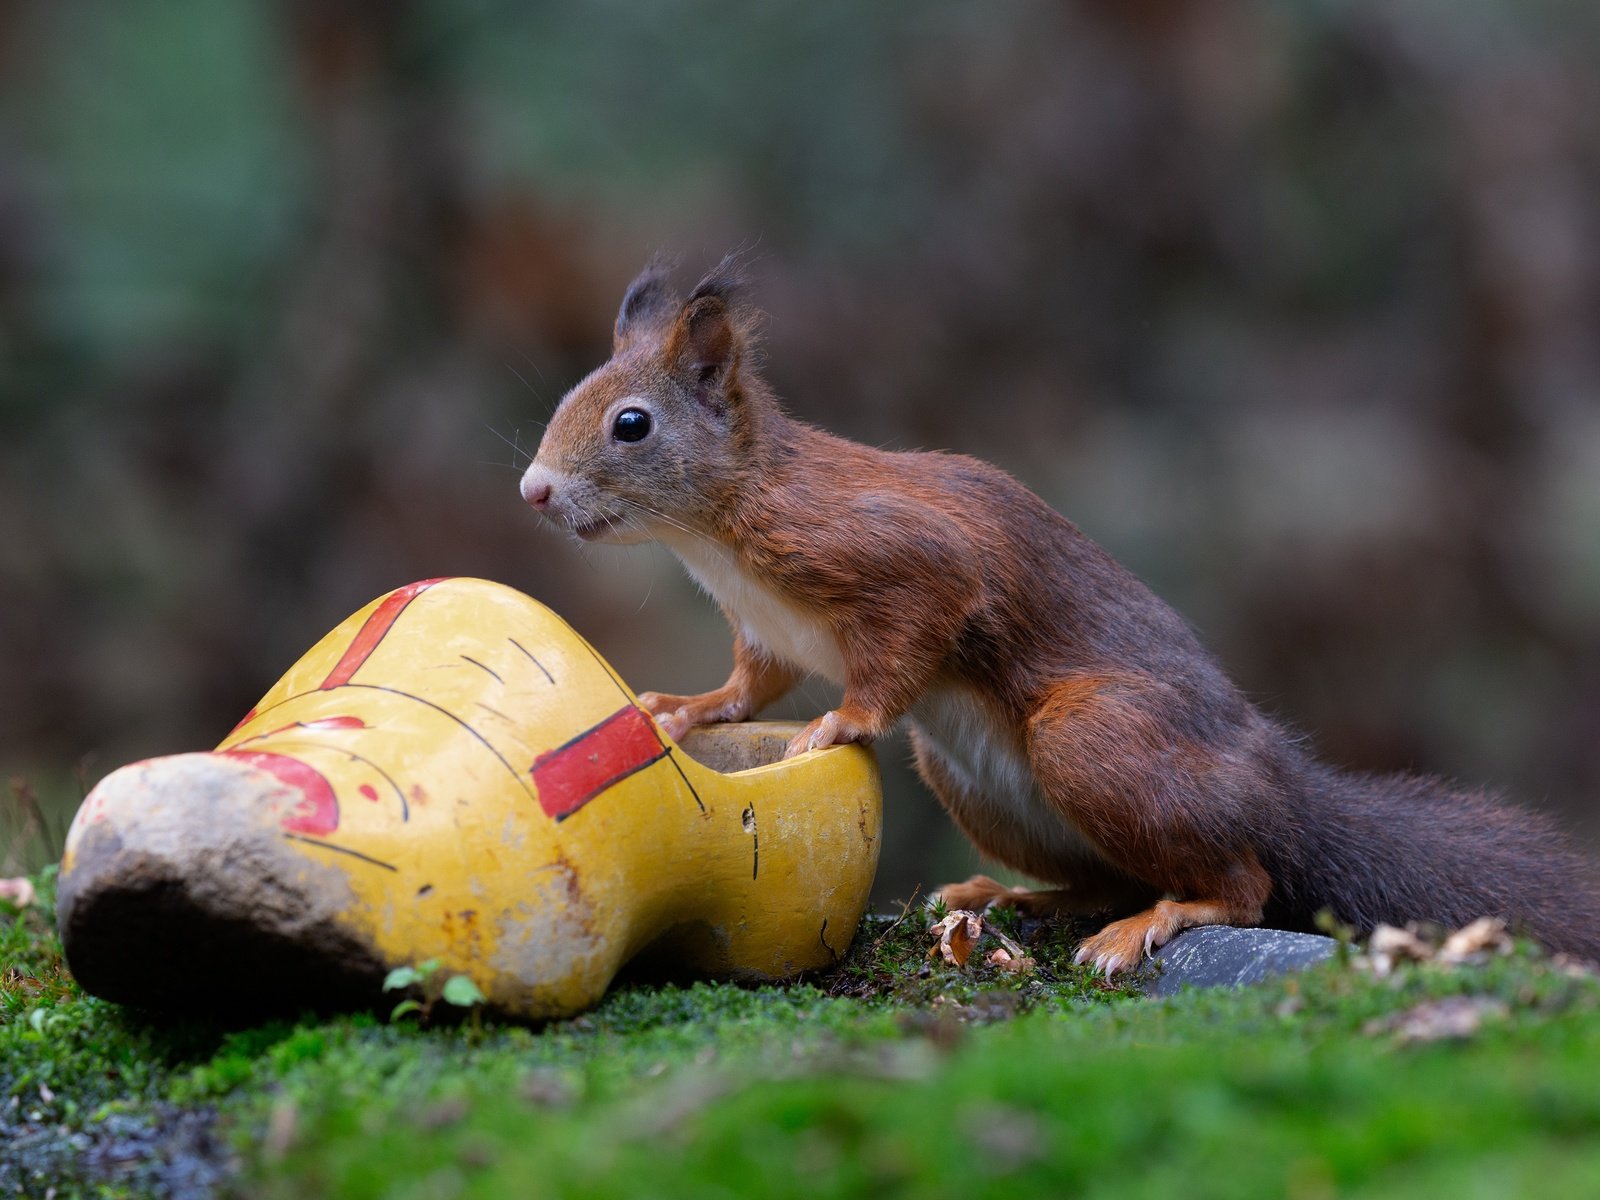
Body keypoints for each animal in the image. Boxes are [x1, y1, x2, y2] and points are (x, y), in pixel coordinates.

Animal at [518, 254, 1600, 979]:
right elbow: (748, 687)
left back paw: (1151, 923)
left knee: (1240, 883)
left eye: (631, 425)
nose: (533, 492)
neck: (721, 531)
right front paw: (686, 708)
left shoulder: (903, 562)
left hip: (1095, 738)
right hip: (981, 783)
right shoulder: (766, 634)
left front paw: (841, 722)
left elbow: (898, 654)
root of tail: (1279, 792)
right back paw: (1008, 895)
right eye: (570, 396)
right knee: (1112, 875)